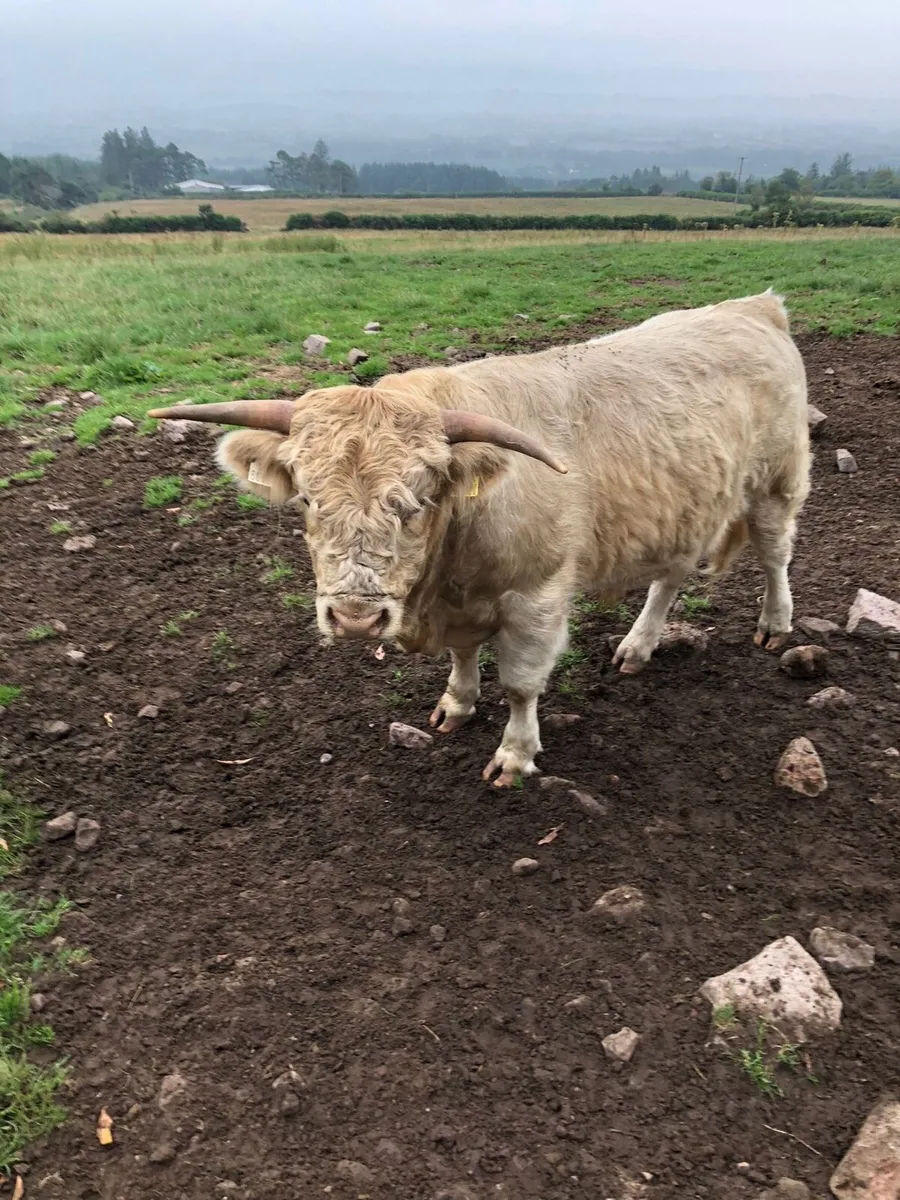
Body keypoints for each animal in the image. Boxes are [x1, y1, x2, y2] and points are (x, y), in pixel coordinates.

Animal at [149, 291, 810, 787]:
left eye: (417, 501)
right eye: (308, 499)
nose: (356, 620)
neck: (446, 576)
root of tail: (754, 306)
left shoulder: (538, 596)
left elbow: (519, 685)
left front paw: (514, 754)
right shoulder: (460, 604)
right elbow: (463, 657)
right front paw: (456, 704)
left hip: (776, 479)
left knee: (776, 552)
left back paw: (776, 623)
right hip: (682, 504)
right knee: (670, 578)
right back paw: (637, 646)